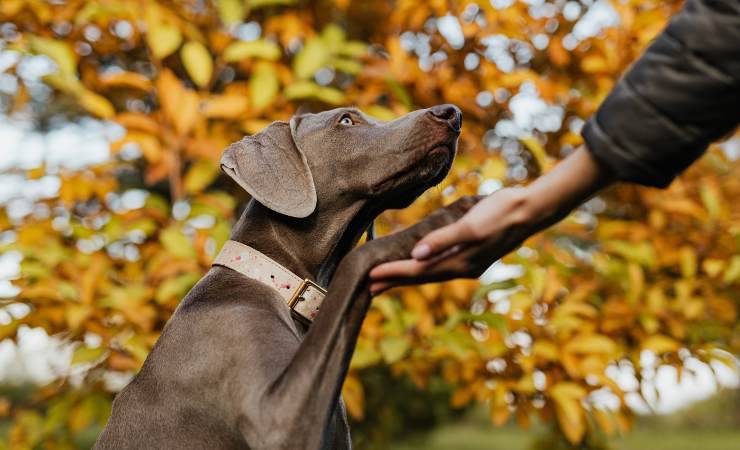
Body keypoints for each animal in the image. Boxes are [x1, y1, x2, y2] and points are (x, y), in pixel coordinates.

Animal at [94, 103, 480, 448]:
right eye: (346, 120)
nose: (453, 113)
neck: (276, 281)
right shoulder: (278, 418)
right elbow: (357, 263)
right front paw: (444, 220)